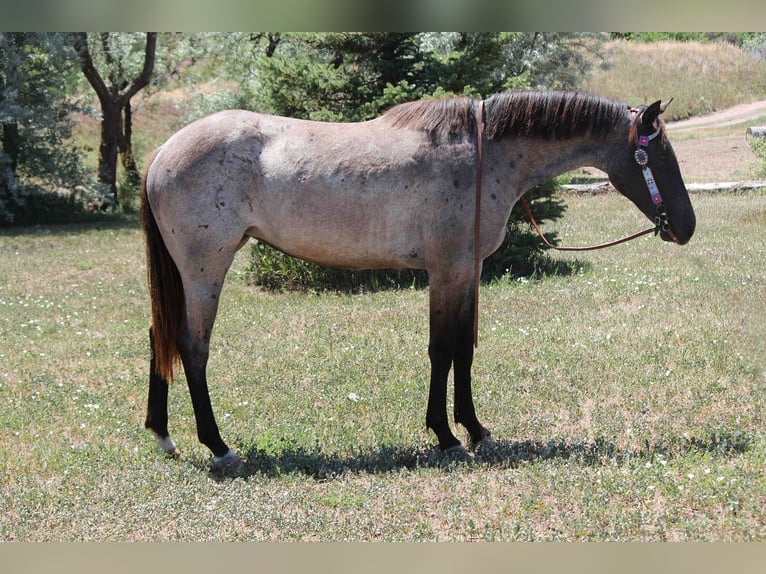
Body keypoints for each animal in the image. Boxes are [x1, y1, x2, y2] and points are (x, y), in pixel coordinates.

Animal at [139, 90, 696, 469]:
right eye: (658, 156)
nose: (686, 226)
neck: (483, 154)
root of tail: (162, 153)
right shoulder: (446, 269)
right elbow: (442, 348)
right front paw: (446, 435)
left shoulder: (468, 270)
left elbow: (464, 349)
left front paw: (475, 428)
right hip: (205, 269)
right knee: (191, 345)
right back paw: (218, 446)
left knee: (159, 338)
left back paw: (163, 435)